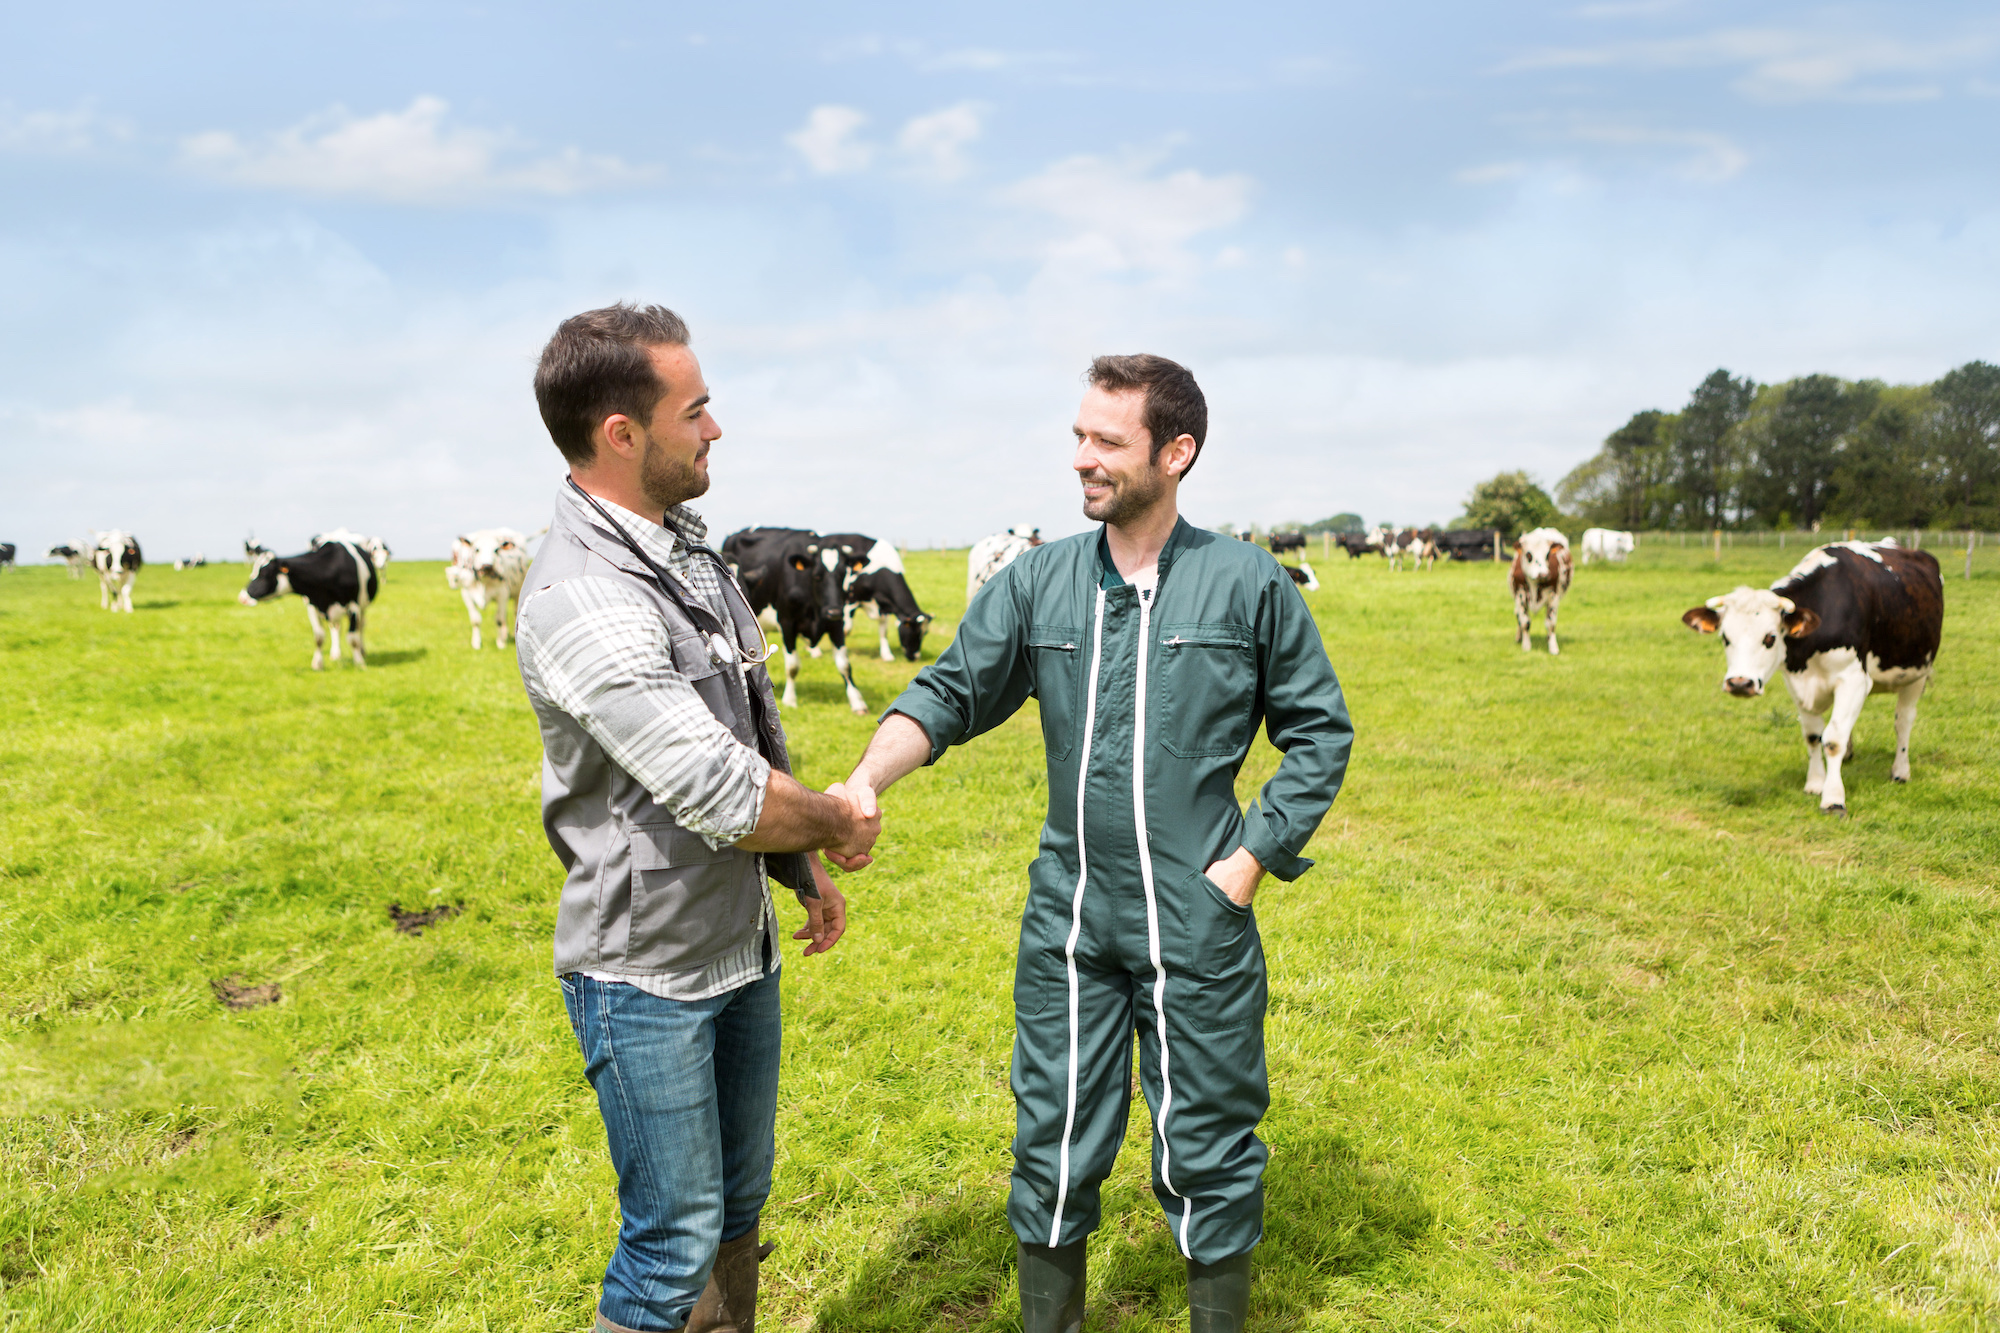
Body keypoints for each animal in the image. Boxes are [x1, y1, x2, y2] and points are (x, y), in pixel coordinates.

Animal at [238, 536, 378, 668]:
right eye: (253, 571)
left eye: (264, 574)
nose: (242, 597)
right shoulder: (313, 606)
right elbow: (319, 637)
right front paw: (318, 664)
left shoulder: (354, 606)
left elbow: (353, 638)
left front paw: (359, 663)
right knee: (335, 627)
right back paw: (335, 654)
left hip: (362, 606)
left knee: (361, 626)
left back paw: (362, 651)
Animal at [728, 520, 868, 716]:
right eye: (817, 576)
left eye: (843, 575)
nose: (833, 611)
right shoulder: (787, 623)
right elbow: (792, 666)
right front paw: (790, 700)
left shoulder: (836, 624)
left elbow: (845, 665)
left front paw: (857, 702)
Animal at [816, 532, 932, 660]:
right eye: (914, 631)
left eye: (925, 633)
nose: (916, 657)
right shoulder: (850, 600)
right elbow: (846, 629)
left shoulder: (884, 605)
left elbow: (883, 631)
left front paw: (887, 655)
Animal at [1680, 536, 1944, 808]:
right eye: (1725, 638)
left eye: (1770, 638)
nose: (1740, 683)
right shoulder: (1798, 683)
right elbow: (1813, 736)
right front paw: (1816, 783)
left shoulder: (1853, 679)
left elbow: (1833, 740)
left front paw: (1833, 798)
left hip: (1917, 673)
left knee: (1903, 721)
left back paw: (1900, 771)